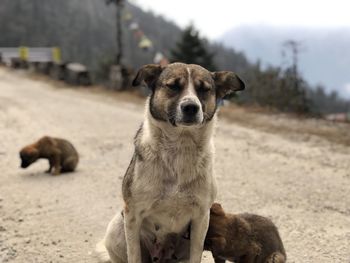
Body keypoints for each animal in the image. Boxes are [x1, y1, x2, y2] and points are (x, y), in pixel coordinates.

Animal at [94, 62, 245, 263]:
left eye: (204, 89)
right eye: (173, 86)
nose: (191, 107)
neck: (180, 147)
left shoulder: (201, 218)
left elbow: (196, 255)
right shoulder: (132, 214)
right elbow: (134, 255)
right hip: (117, 227)